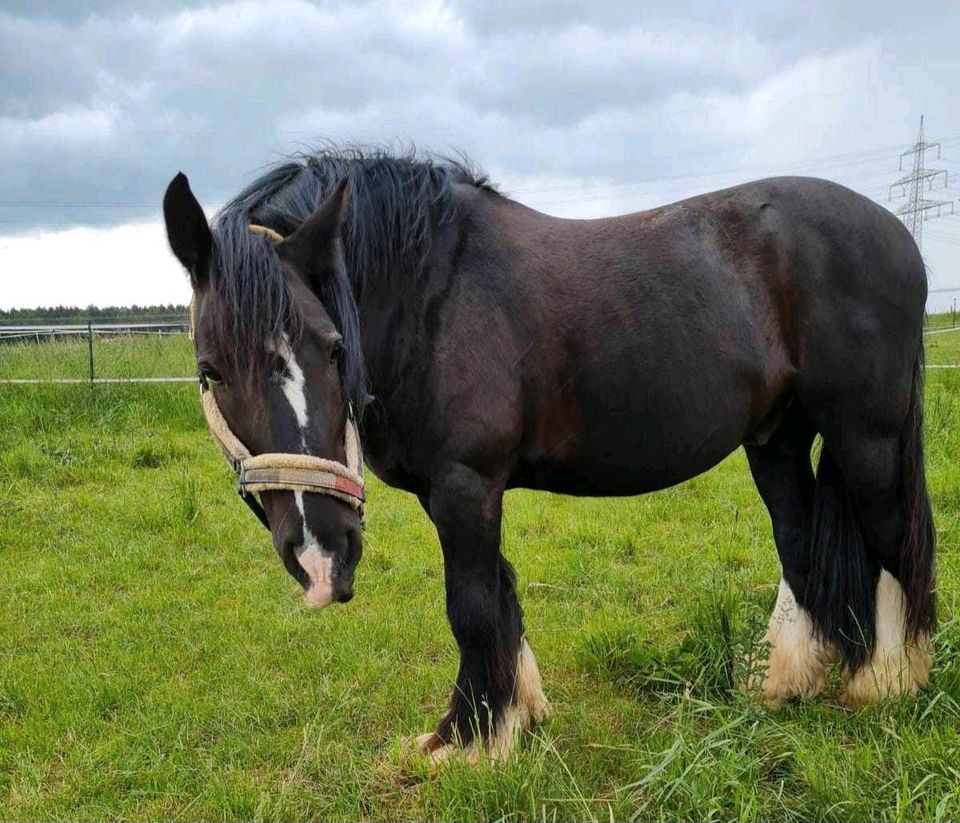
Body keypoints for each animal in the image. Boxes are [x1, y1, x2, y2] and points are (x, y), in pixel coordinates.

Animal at [165, 146, 936, 760]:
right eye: (211, 369)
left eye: (332, 348)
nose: (322, 557)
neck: (431, 295)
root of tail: (898, 232)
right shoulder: (455, 492)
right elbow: (502, 594)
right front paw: (518, 714)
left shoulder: (466, 484)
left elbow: (472, 604)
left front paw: (467, 742)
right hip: (776, 439)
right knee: (802, 545)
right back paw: (788, 683)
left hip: (866, 436)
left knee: (891, 539)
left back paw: (887, 684)